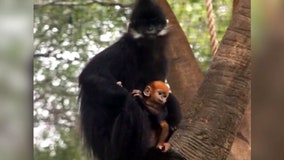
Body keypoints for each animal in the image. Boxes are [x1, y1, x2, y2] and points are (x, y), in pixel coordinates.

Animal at [77, 0, 182, 159]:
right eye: (144, 25)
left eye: (156, 23)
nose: (151, 29)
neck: (144, 51)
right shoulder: (122, 48)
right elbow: (90, 74)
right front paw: (135, 96)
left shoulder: (161, 61)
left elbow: (161, 88)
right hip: (114, 149)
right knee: (131, 106)